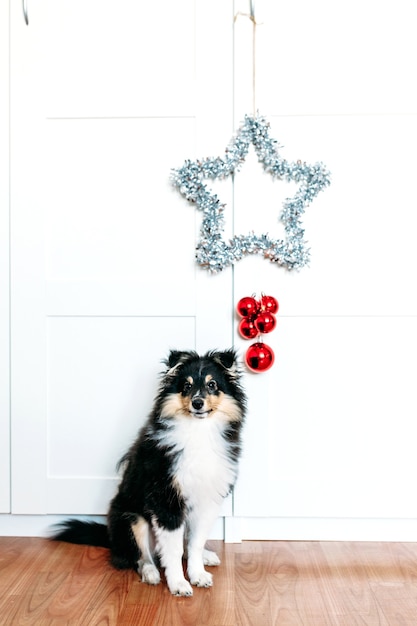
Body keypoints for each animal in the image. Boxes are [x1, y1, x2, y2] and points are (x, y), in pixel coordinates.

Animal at [53, 348, 245, 592]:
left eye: (212, 385)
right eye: (186, 386)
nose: (197, 403)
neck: (198, 431)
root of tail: (110, 536)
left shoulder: (206, 500)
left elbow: (195, 544)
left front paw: (198, 574)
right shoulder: (166, 500)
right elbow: (173, 550)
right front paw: (178, 584)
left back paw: (206, 556)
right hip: (132, 519)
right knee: (139, 556)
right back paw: (151, 573)